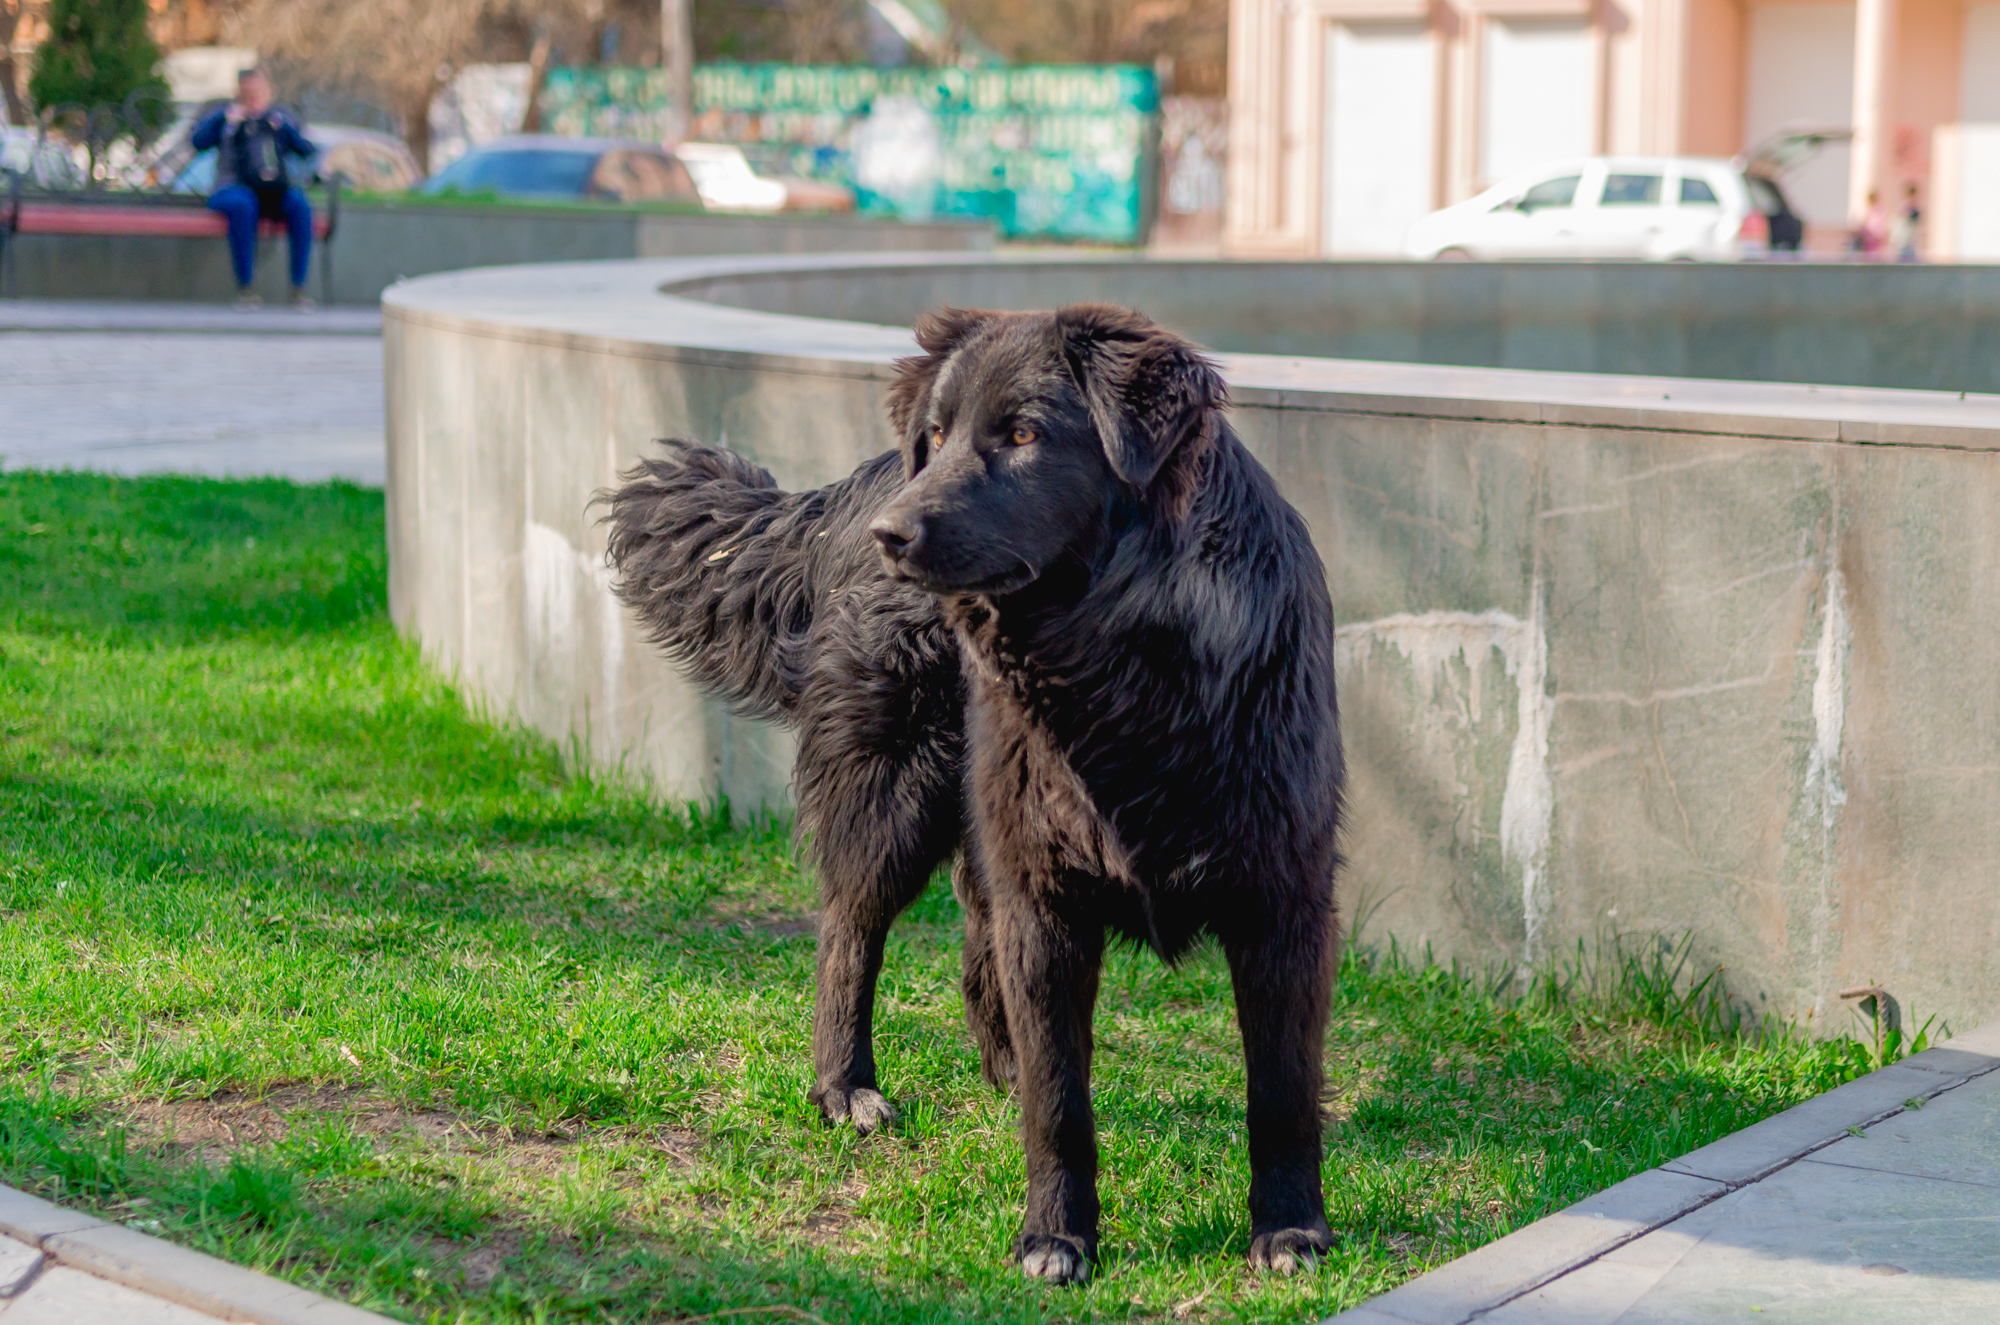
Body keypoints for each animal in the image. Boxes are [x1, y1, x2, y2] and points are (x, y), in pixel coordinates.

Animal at [600, 304, 1336, 1288]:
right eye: (941, 435)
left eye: (1023, 436)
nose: (893, 536)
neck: (1118, 668)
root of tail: (859, 488)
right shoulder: (1048, 896)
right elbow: (1061, 1104)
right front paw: (1056, 1235)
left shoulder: (1283, 897)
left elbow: (1281, 1090)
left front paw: (1291, 1228)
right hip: (896, 799)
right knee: (849, 935)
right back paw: (847, 1087)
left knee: (976, 947)